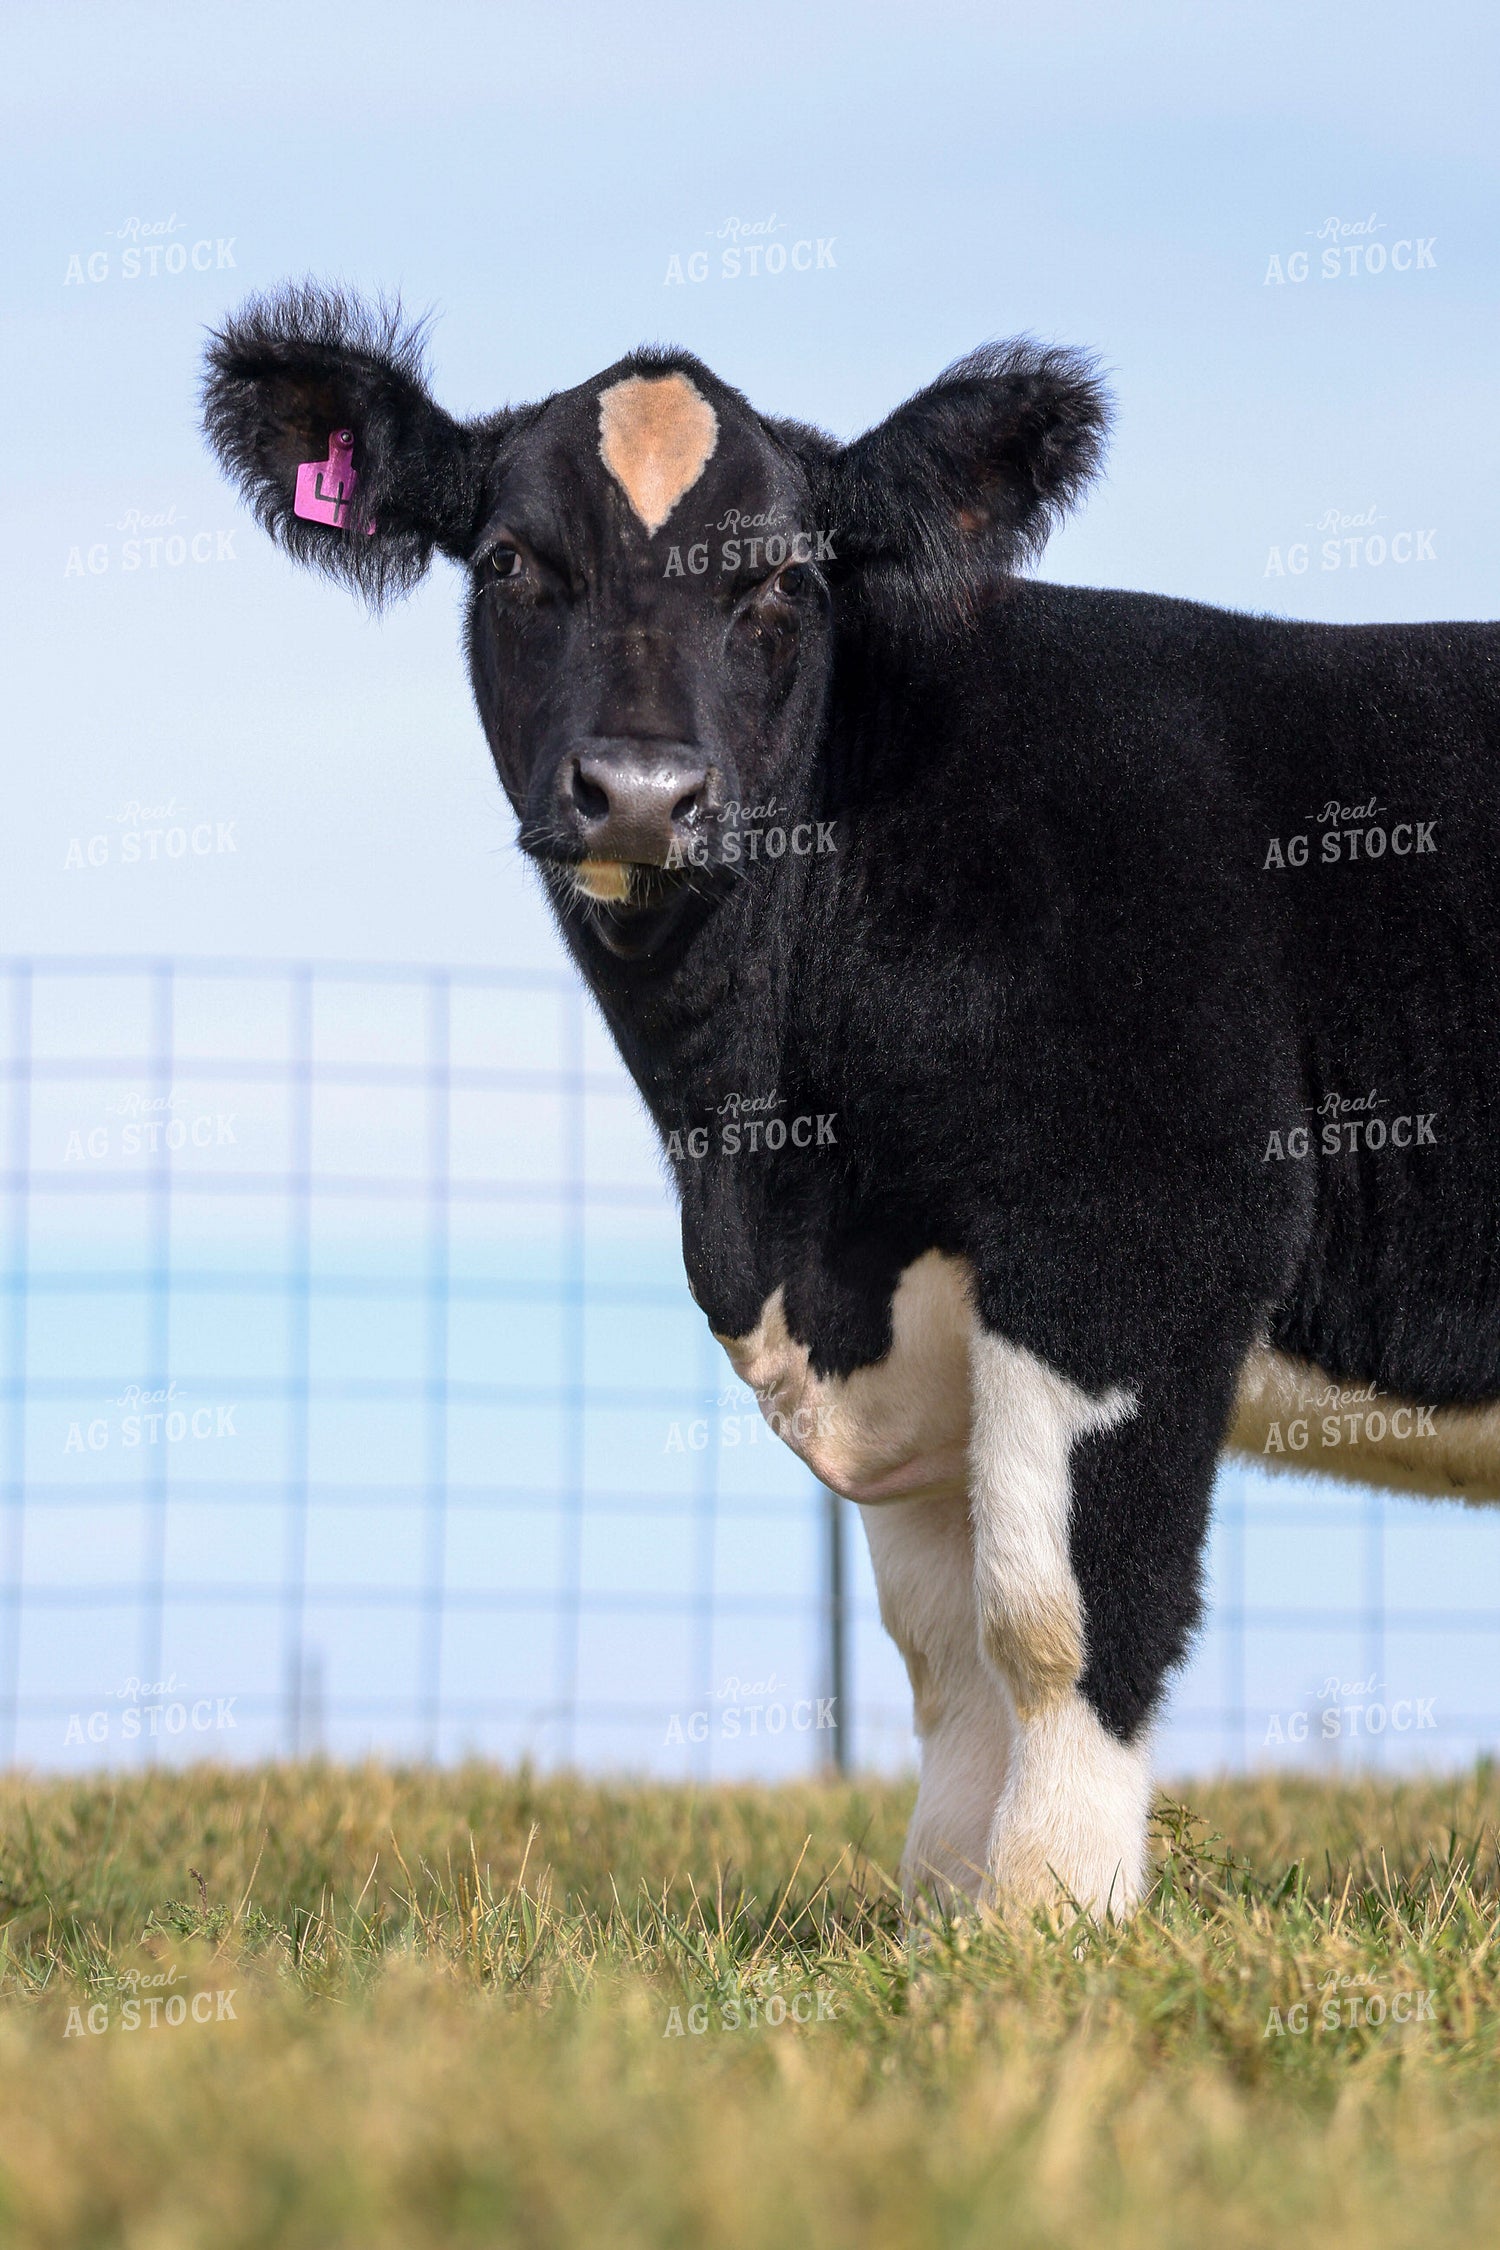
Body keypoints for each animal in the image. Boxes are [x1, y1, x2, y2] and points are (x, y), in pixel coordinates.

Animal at [203, 283, 1500, 1920]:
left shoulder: (1137, 1241)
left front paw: (1049, 1911)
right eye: (510, 563)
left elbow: (1061, 1615)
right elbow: (943, 1656)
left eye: (781, 581)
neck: (773, 1181)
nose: (641, 791)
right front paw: (942, 1914)